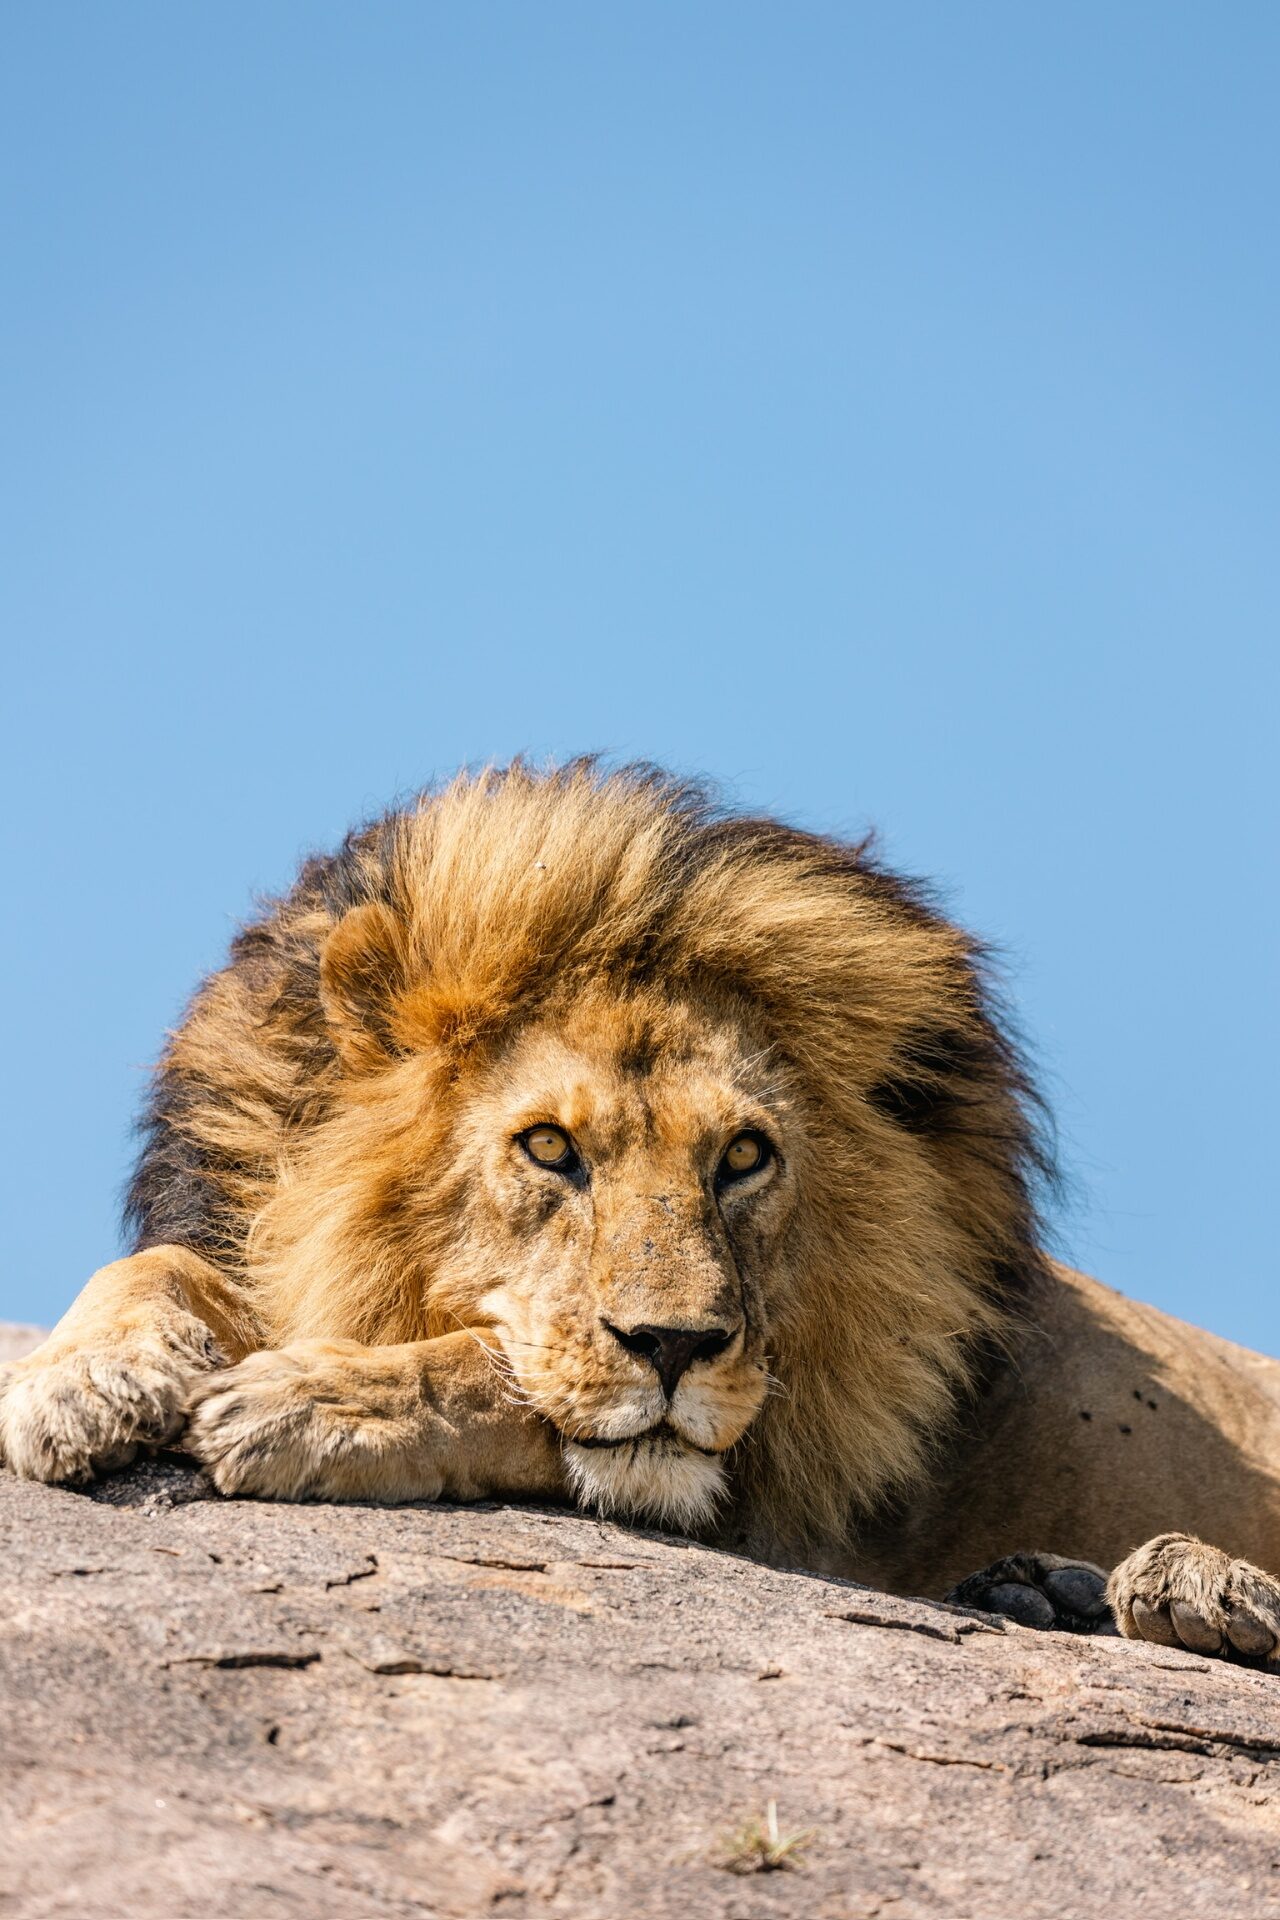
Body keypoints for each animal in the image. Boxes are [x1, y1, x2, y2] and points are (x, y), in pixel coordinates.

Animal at [3, 760, 1278, 1666]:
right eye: (549, 1148)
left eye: (744, 1156)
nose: (675, 1346)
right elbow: (161, 1271)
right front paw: (80, 1383)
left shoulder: (781, 1452)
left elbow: (496, 1376)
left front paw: (308, 1404)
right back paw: (1051, 1590)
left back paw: (1190, 1588)